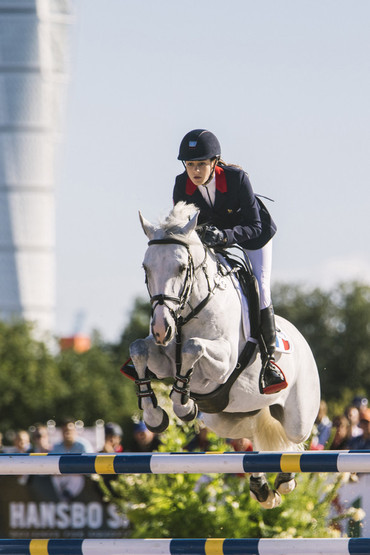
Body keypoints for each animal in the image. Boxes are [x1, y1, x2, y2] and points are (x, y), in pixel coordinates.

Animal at [128, 203, 320, 508]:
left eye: (181, 267)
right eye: (146, 268)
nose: (160, 329)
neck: (188, 311)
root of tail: (302, 340)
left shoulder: (223, 364)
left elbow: (194, 347)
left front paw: (183, 406)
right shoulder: (164, 359)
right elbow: (138, 348)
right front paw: (155, 415)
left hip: (298, 417)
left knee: (293, 440)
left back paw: (285, 480)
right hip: (225, 418)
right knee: (251, 434)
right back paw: (262, 487)